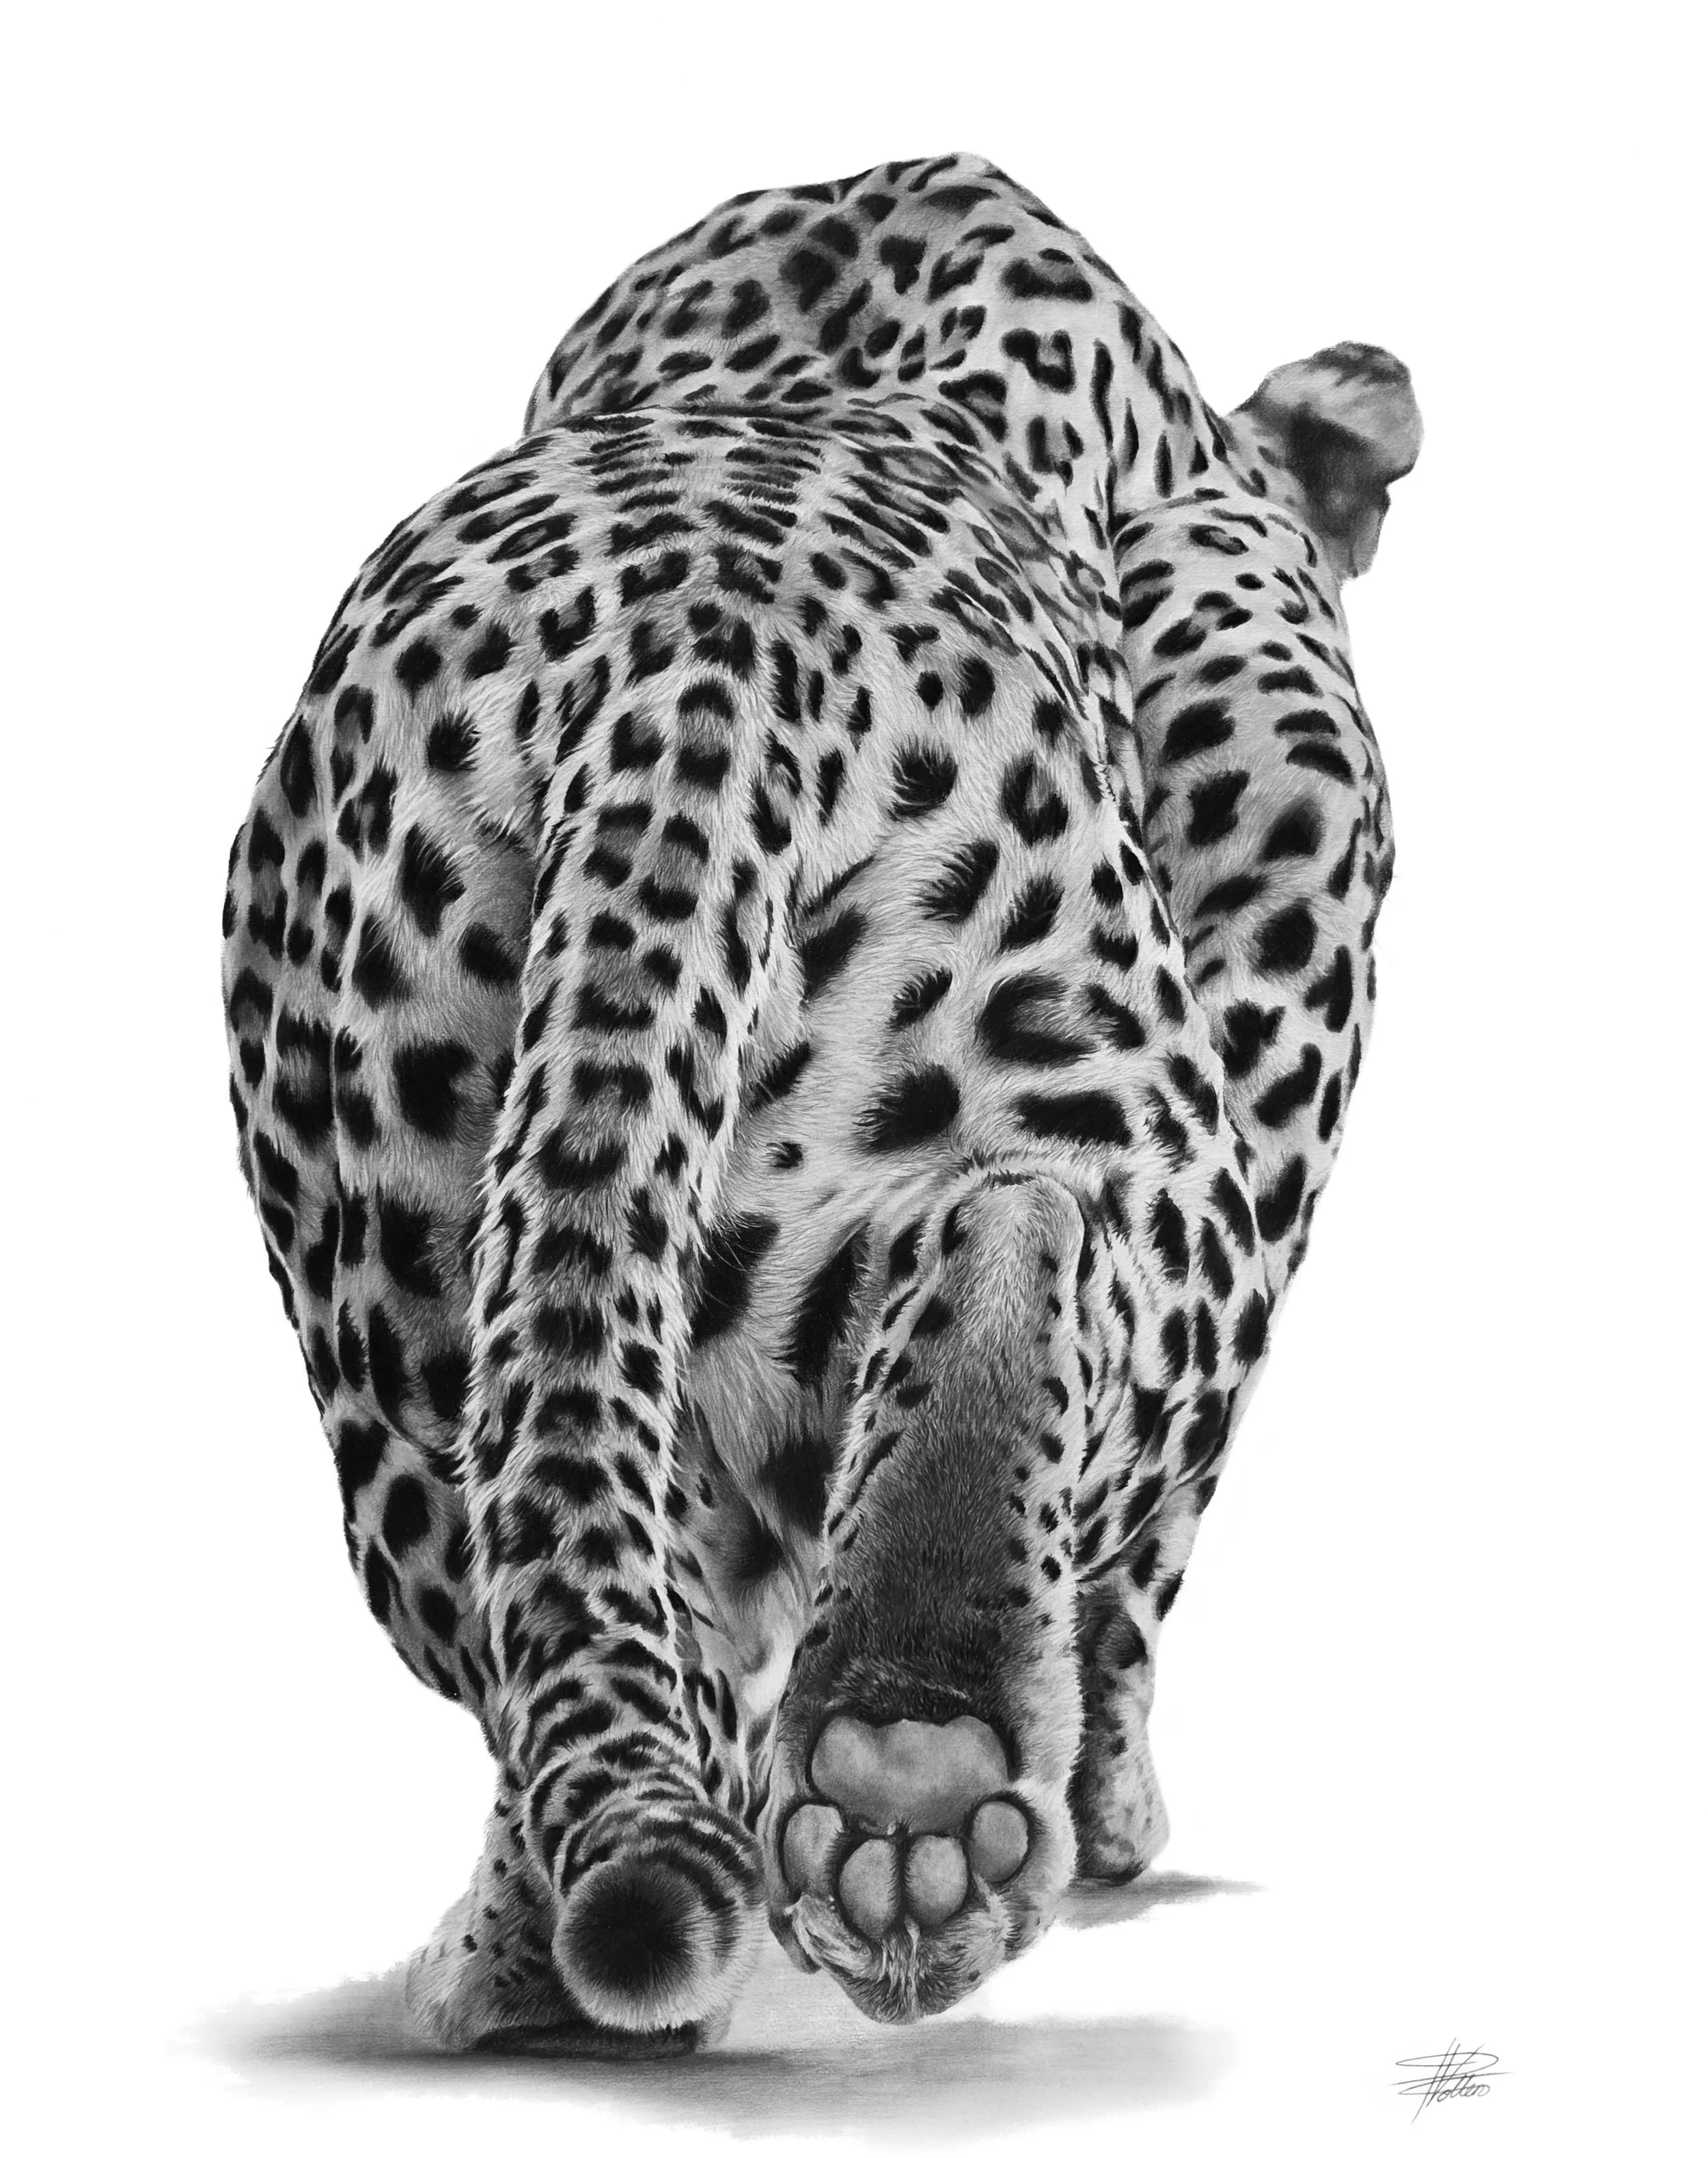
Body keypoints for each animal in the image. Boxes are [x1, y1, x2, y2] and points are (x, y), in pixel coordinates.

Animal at [221, 150, 1419, 2054]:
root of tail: (695, 642)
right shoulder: (1301, 843)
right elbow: (1136, 1589)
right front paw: (1117, 1802)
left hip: (405, 1246)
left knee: (584, 1588)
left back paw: (647, 1909)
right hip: (1137, 1123)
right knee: (1041, 1252)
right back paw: (911, 1768)